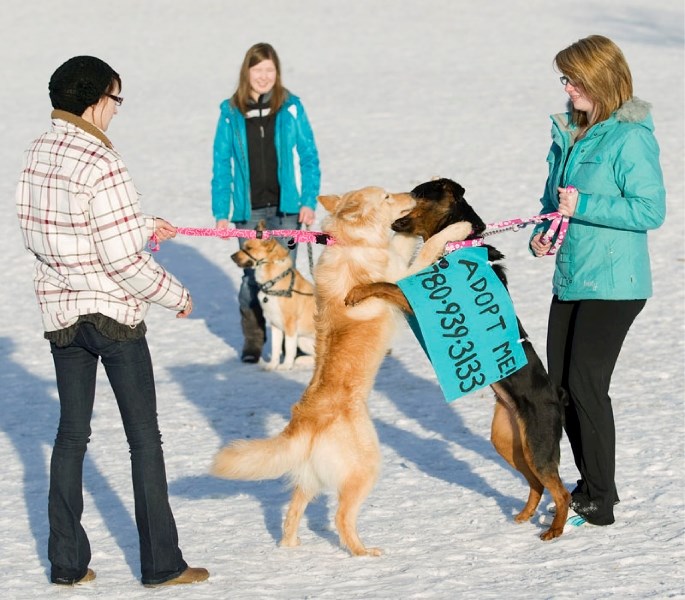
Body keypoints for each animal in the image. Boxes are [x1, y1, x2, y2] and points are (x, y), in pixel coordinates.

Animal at [211, 185, 472, 556]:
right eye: (388, 197)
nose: (411, 194)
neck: (353, 243)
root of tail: (303, 422)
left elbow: (403, 242)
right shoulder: (399, 279)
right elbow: (429, 247)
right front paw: (459, 229)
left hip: (312, 477)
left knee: (294, 508)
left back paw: (290, 545)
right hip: (366, 466)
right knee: (341, 517)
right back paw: (364, 552)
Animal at [344, 177, 568, 540]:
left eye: (417, 192)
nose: (393, 203)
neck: (456, 243)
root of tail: (557, 398)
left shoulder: (420, 296)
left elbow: (384, 284)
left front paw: (357, 291)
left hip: (538, 442)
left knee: (560, 491)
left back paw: (555, 530)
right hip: (508, 441)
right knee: (537, 483)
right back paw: (523, 516)